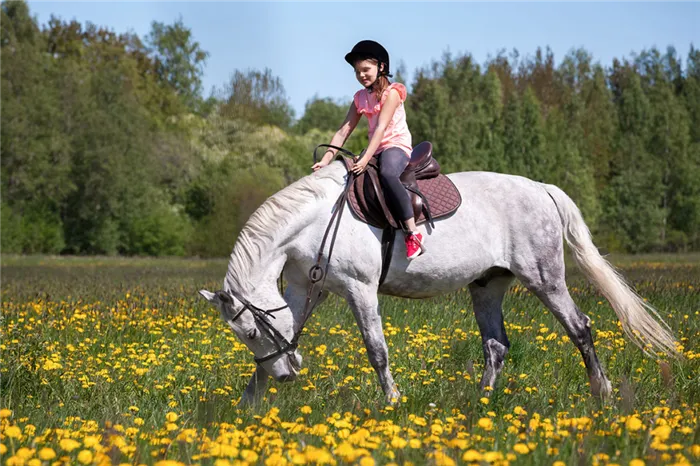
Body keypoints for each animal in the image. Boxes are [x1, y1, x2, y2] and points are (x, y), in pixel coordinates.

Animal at [200, 162, 680, 406]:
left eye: (249, 332)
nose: (286, 376)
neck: (317, 220)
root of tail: (541, 188)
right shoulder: (304, 290)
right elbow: (283, 338)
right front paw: (246, 408)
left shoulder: (360, 289)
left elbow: (376, 350)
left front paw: (393, 402)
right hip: (487, 285)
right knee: (496, 345)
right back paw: (481, 405)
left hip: (544, 279)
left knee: (579, 328)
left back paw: (601, 393)